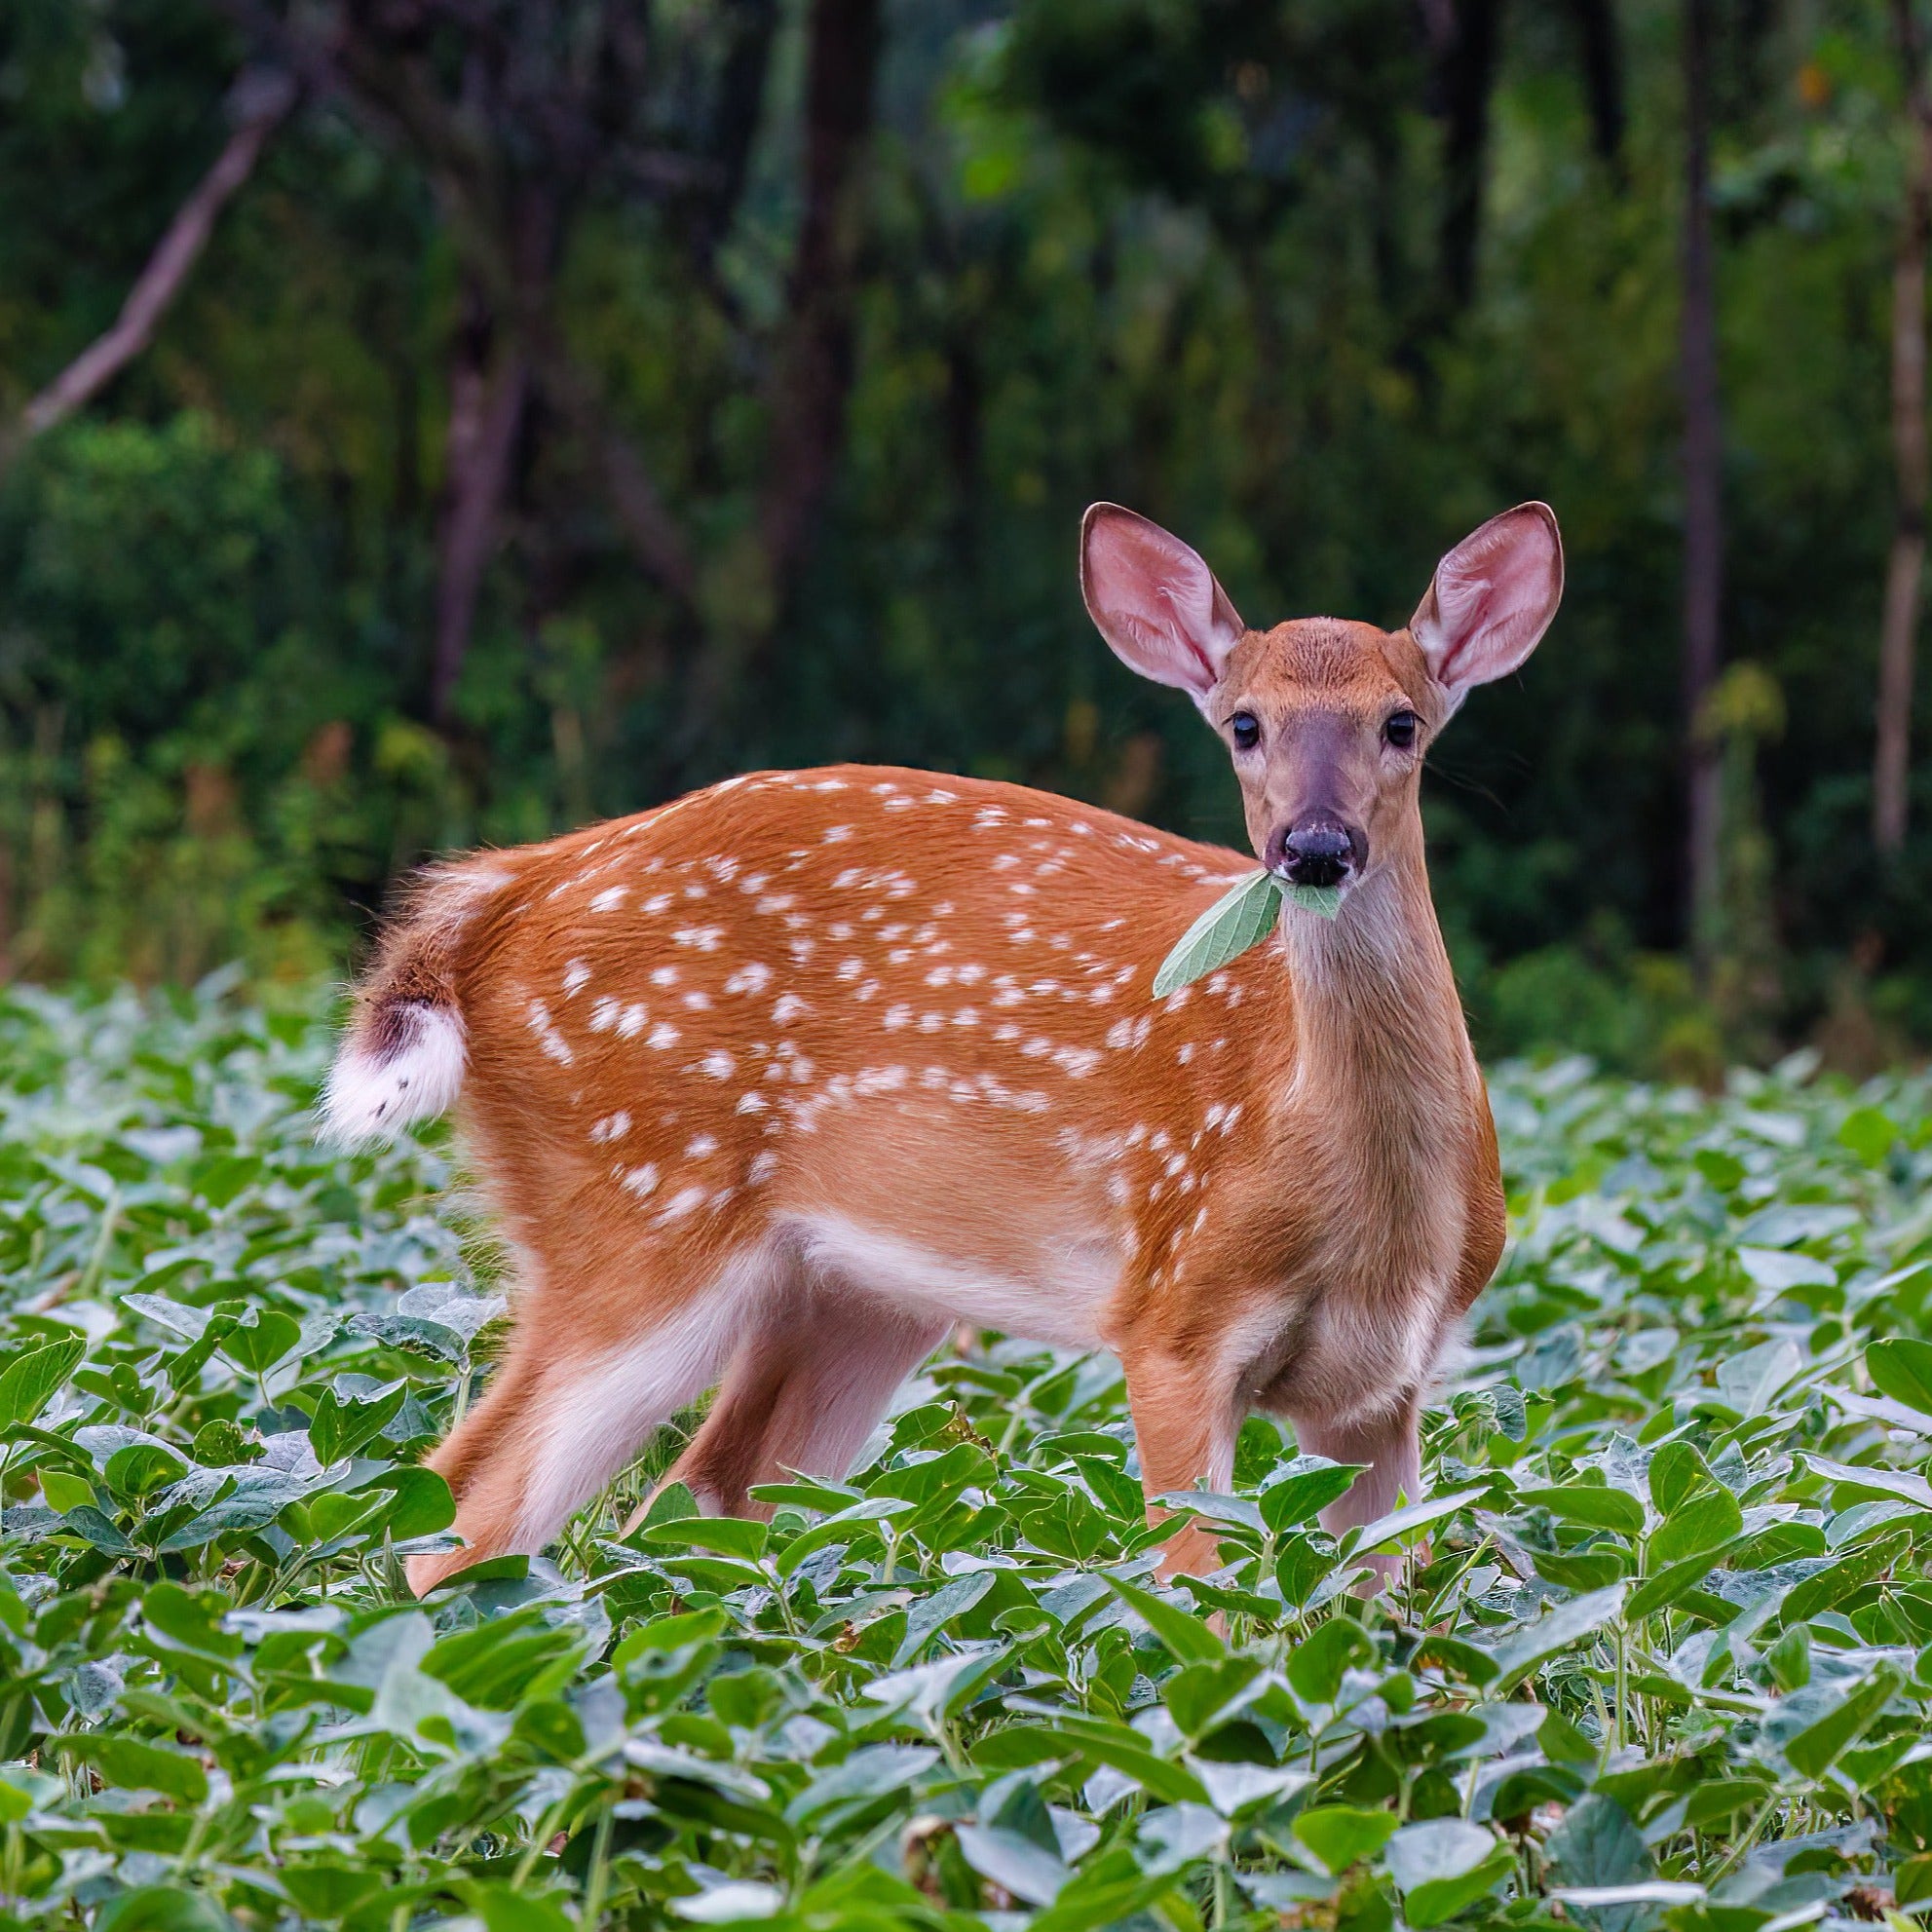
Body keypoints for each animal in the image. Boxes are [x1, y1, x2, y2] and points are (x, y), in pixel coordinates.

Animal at [324, 494, 1561, 1584]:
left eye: (1401, 724)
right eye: (1244, 724)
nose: (1313, 847)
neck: (1369, 1205)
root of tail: (501, 896)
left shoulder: (1388, 1388)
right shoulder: (1173, 1311)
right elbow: (1197, 1595)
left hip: (850, 1293)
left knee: (693, 1500)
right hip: (638, 1209)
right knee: (471, 1506)